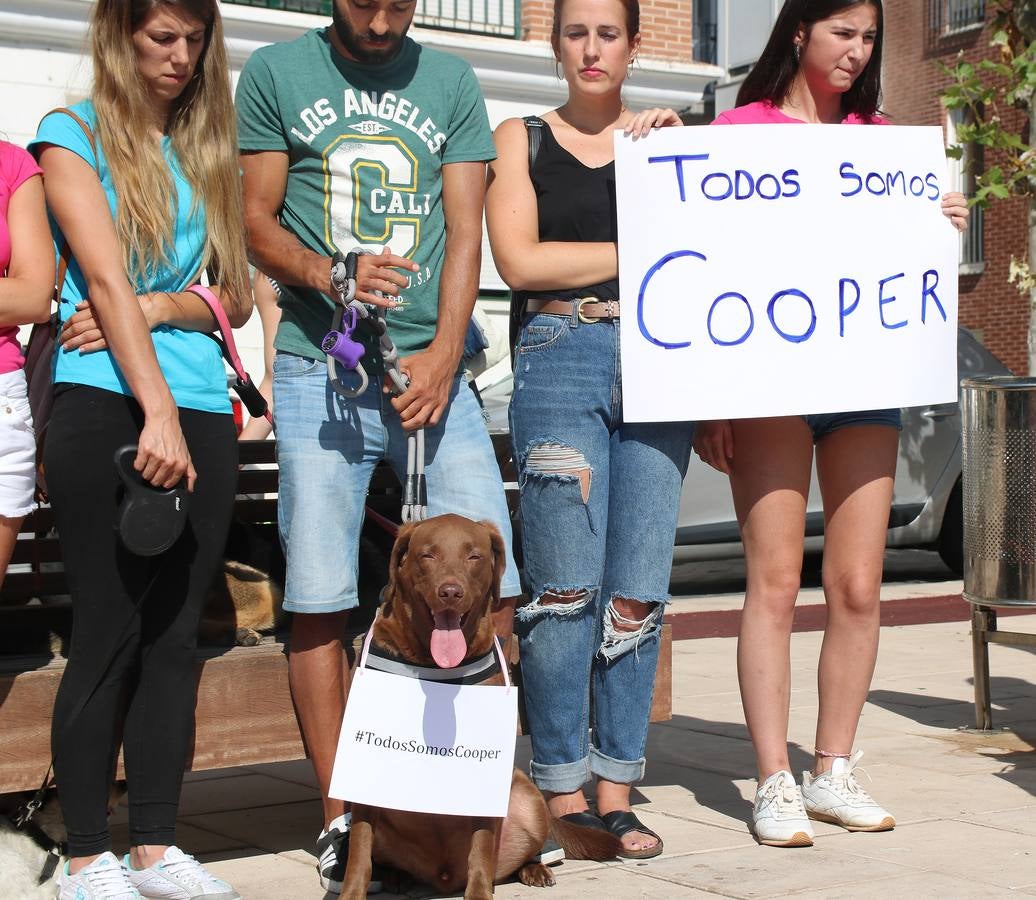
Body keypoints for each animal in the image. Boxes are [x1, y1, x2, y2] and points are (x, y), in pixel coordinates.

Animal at [339, 513, 617, 898]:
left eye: (474, 556)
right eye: (428, 555)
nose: (450, 592)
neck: (436, 669)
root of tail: (443, 878)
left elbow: (481, 847)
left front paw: (479, 892)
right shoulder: (363, 764)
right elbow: (360, 851)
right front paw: (351, 892)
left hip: (525, 795)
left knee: (516, 852)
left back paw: (534, 868)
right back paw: (397, 877)